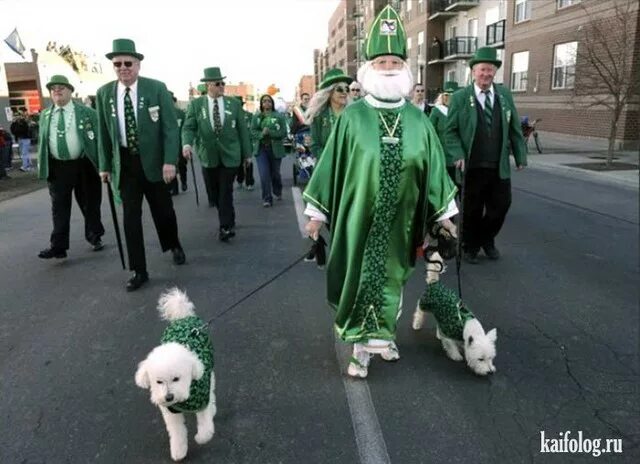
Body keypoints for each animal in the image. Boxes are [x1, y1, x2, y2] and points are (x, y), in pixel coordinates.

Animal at [134, 288, 216, 462]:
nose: (169, 397)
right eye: (158, 382)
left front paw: (201, 437)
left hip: (210, 372)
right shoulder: (171, 413)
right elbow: (177, 432)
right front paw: (179, 451)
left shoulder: (202, 400)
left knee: (212, 392)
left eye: (176, 379)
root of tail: (183, 317)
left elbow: (205, 425)